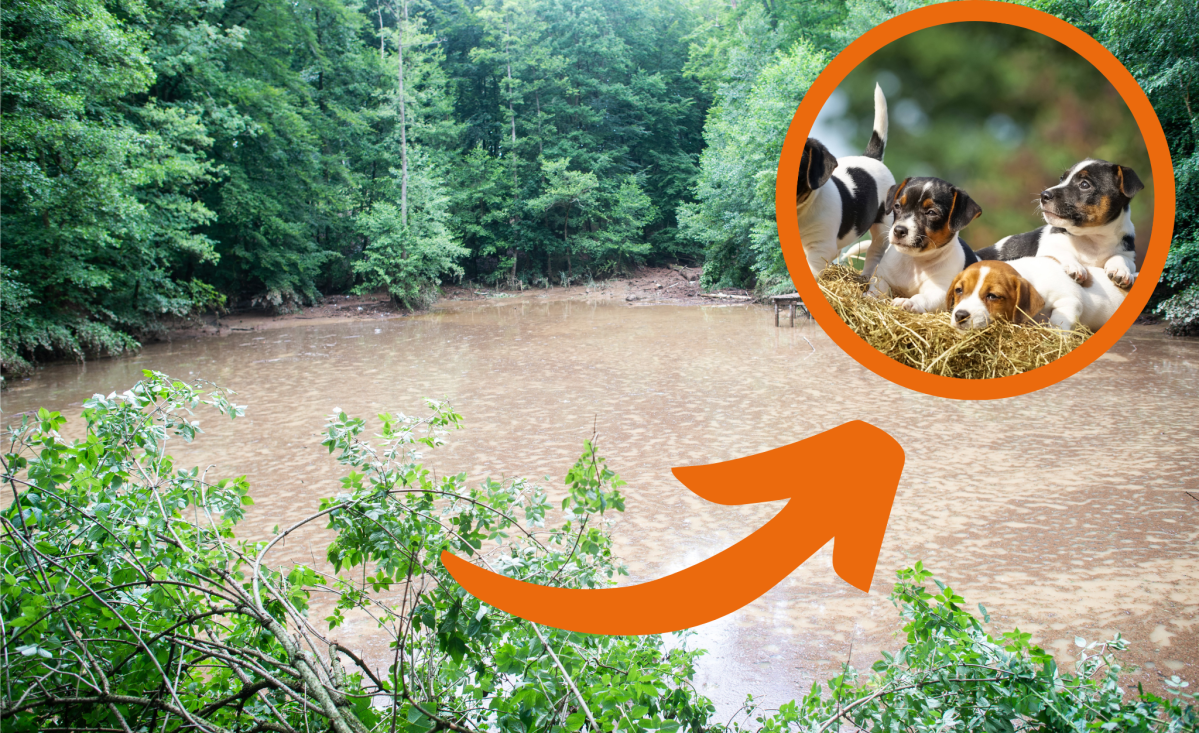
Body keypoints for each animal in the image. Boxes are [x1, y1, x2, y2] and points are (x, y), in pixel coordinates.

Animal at [872, 179, 983, 314]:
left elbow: (922, 297)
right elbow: (879, 287)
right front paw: (870, 295)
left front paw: (908, 302)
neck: (915, 262)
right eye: (897, 206)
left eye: (931, 212)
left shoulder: (940, 292)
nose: (898, 230)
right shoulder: (881, 277)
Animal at [973, 159, 1141, 287]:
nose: (1044, 195)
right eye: (1062, 179)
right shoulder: (1049, 248)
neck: (1092, 237)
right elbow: (1062, 253)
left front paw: (1120, 270)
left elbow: (1121, 258)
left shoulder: (1128, 255)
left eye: (1084, 184)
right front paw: (1075, 266)